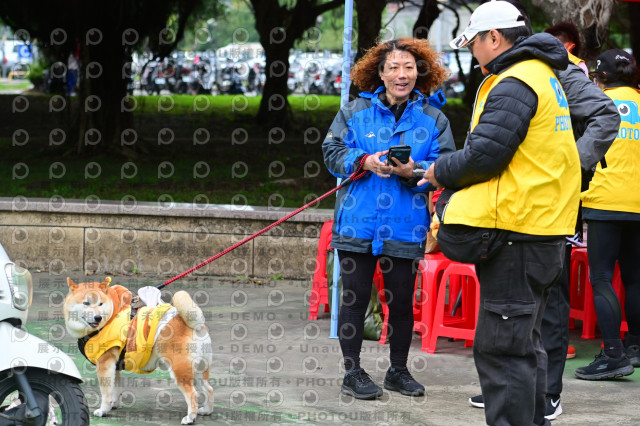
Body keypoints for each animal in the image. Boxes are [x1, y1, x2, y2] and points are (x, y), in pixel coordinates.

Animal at [64, 278, 215, 424]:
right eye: (86, 303)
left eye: (101, 304)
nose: (98, 317)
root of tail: (195, 325)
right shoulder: (115, 366)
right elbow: (115, 389)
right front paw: (114, 404)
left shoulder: (104, 364)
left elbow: (106, 392)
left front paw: (103, 410)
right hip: (199, 369)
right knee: (208, 389)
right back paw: (206, 410)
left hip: (179, 370)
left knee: (193, 394)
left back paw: (190, 418)